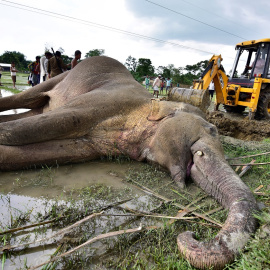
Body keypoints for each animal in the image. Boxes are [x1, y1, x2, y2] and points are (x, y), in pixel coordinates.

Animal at [0, 56, 258, 268]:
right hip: (61, 76)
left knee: (34, 110)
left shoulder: (95, 145)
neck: (151, 104)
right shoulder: (104, 101)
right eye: (212, 129)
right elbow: (32, 128)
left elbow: (43, 151)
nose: (190, 234)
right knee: (29, 99)